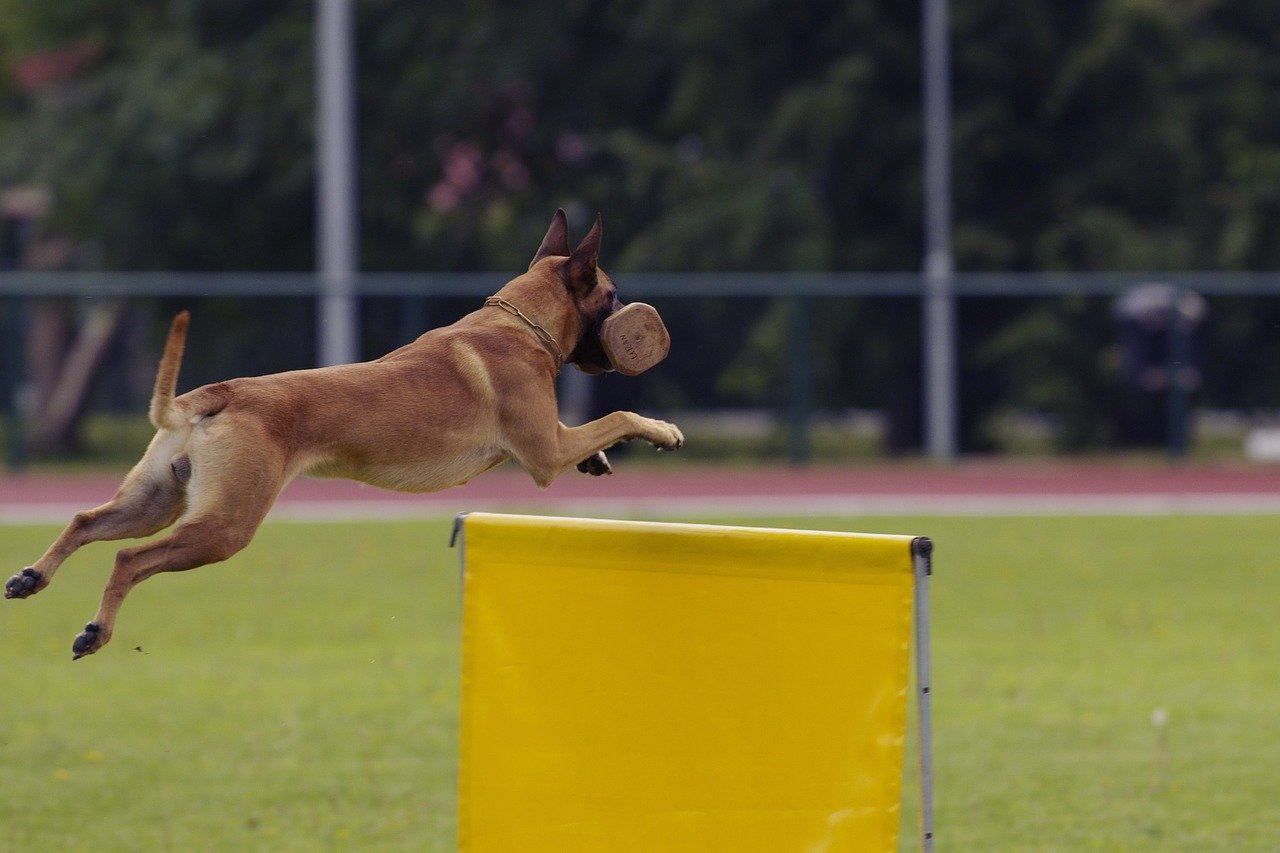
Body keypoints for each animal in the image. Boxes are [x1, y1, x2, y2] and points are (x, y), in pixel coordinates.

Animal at [5, 207, 686, 655]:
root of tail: (214, 395)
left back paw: (32, 576)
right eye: (612, 294)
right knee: (127, 557)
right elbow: (614, 419)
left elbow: (594, 431)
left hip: (155, 501)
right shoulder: (544, 454)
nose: (637, 322)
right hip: (223, 527)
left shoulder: (552, 440)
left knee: (85, 521)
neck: (519, 324)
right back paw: (96, 630)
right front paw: (661, 429)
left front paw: (599, 462)